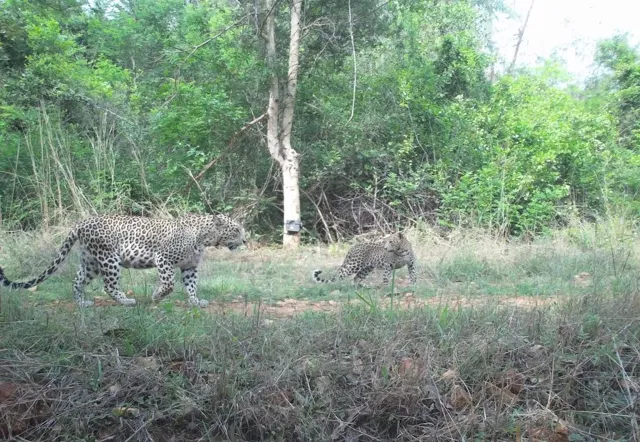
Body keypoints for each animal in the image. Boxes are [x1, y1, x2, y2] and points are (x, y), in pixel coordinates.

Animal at [0, 213, 246, 308]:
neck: (205, 237)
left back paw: (82, 304)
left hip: (90, 262)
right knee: (109, 285)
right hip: (109, 258)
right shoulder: (163, 258)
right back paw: (126, 301)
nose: (245, 239)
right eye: (236, 229)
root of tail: (82, 222)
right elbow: (168, 284)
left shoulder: (190, 266)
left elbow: (192, 286)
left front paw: (196, 302)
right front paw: (156, 296)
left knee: (77, 281)